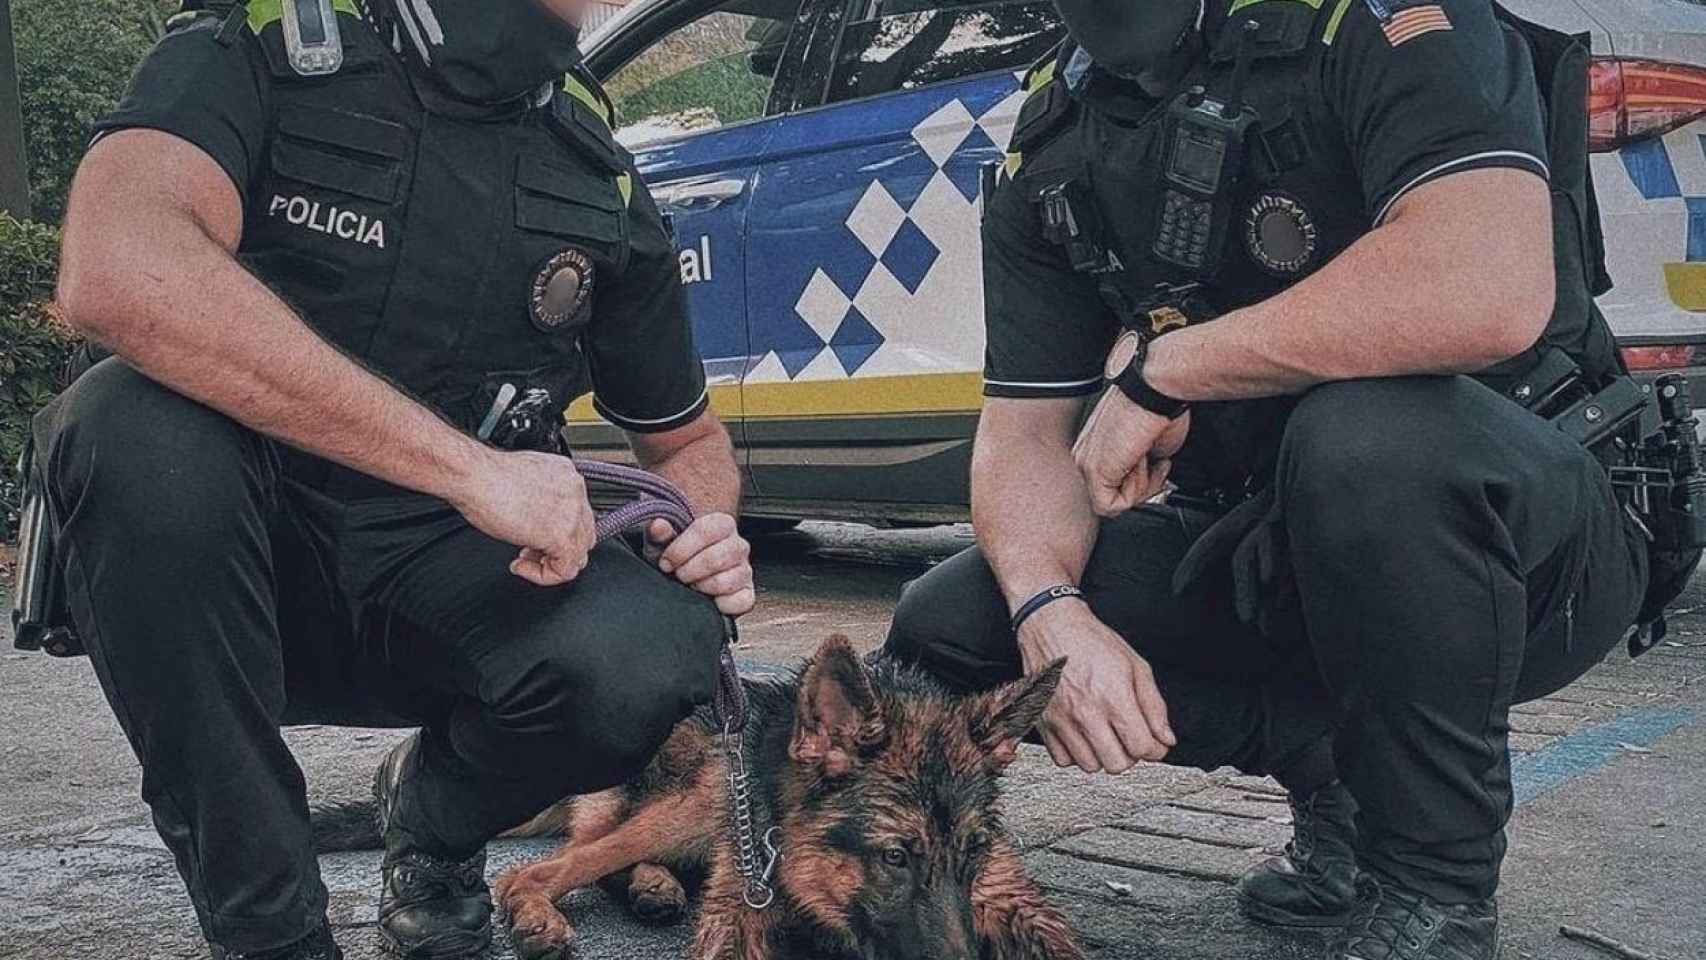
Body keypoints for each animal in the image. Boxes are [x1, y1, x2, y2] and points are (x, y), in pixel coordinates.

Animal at [494, 637, 1078, 960]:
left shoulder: (1014, 901)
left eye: (974, 850)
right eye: (894, 855)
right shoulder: (739, 910)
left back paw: (653, 886)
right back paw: (542, 914)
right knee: (533, 872)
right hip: (698, 804)